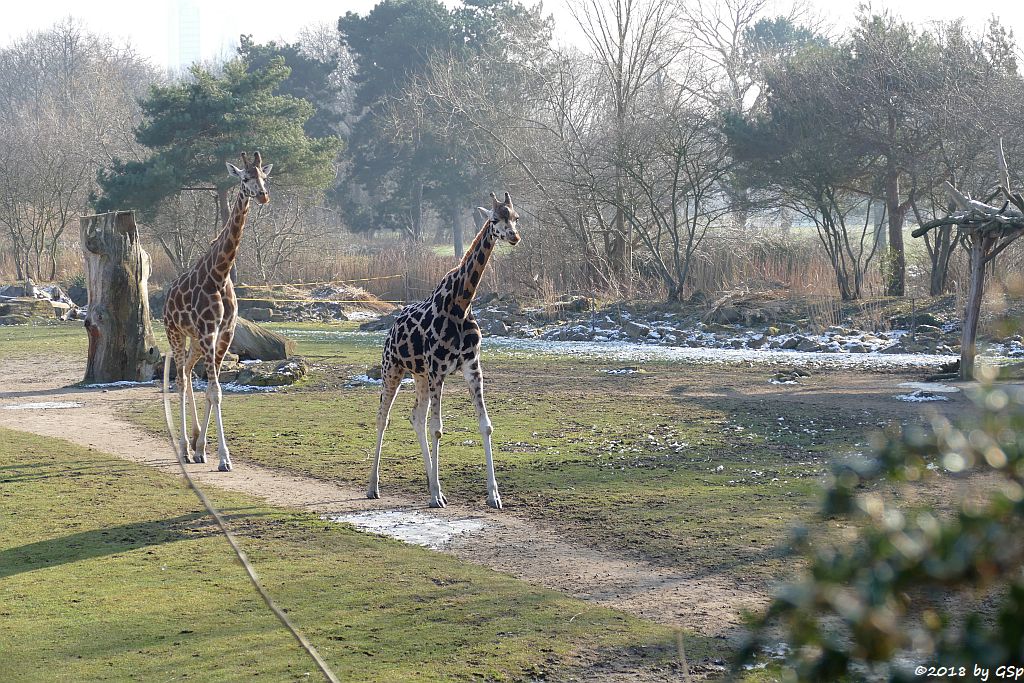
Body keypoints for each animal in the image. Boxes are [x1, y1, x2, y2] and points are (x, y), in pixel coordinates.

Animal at [161, 152, 272, 473]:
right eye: (244, 178)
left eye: (265, 177)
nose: (263, 196)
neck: (220, 274)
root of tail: (166, 297)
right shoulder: (209, 333)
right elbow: (215, 390)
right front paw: (223, 458)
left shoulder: (224, 334)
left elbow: (214, 391)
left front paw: (205, 449)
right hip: (175, 333)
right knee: (180, 380)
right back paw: (183, 448)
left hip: (195, 341)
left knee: (187, 373)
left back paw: (195, 445)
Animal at [368, 191, 520, 507]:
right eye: (494, 219)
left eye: (515, 216)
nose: (514, 236)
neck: (461, 305)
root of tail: (391, 328)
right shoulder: (438, 370)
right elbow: (437, 429)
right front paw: (436, 495)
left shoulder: (472, 368)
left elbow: (485, 425)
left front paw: (493, 495)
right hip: (393, 370)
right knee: (382, 419)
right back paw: (373, 487)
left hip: (420, 376)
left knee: (416, 417)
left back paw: (432, 485)